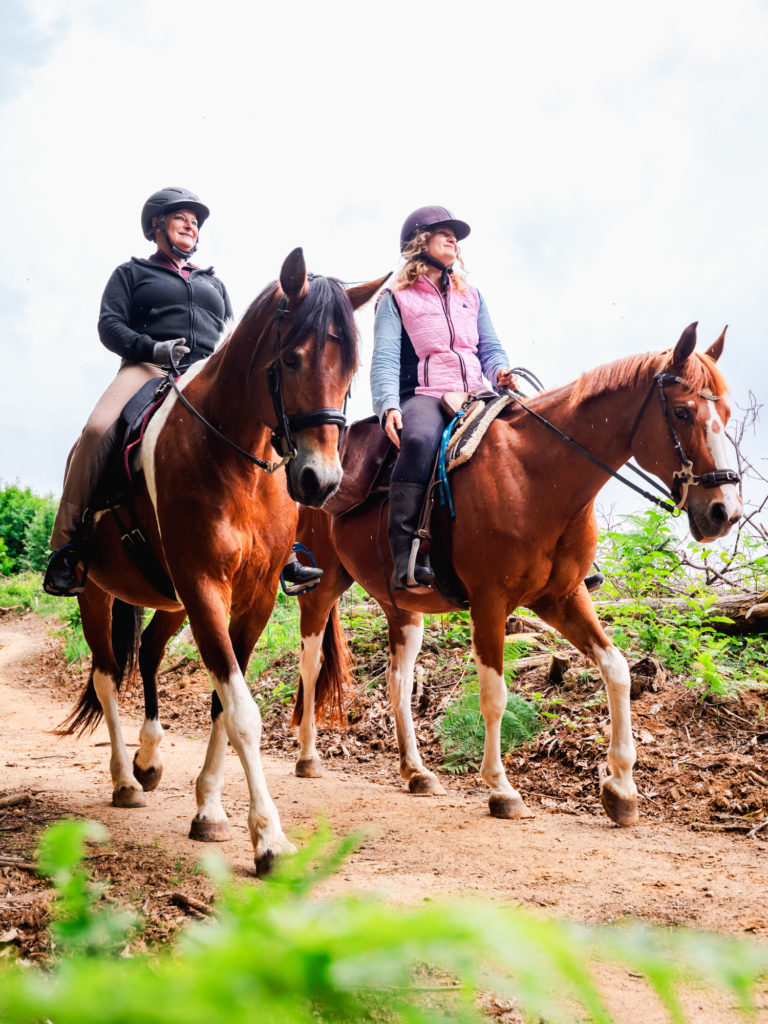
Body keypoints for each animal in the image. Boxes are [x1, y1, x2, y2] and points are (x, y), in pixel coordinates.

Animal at [59, 248, 387, 874]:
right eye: (292, 359)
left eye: (351, 369)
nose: (321, 481)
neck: (233, 459)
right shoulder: (205, 585)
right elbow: (241, 712)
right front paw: (270, 839)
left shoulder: (253, 596)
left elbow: (220, 701)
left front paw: (209, 809)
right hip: (98, 594)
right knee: (108, 675)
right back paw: (125, 780)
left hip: (171, 601)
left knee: (150, 652)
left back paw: (149, 759)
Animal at [291, 323, 742, 827]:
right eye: (683, 411)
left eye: (726, 412)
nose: (724, 512)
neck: (534, 474)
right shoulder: (490, 603)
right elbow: (495, 696)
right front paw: (501, 789)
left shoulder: (563, 598)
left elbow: (618, 670)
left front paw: (622, 788)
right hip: (320, 588)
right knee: (310, 665)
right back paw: (308, 756)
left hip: (401, 607)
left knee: (398, 680)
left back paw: (416, 771)